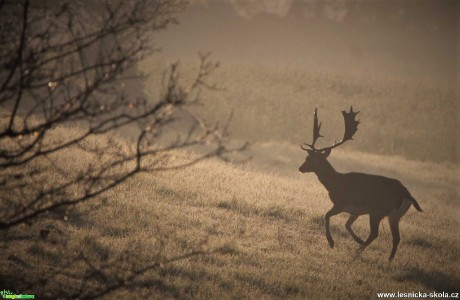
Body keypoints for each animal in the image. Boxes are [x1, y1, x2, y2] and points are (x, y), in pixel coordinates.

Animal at [300, 107, 422, 260]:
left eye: (309, 158)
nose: (300, 168)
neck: (335, 183)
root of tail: (407, 195)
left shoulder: (341, 203)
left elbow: (326, 215)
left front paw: (332, 241)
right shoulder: (356, 211)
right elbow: (347, 224)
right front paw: (358, 239)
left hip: (377, 211)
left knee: (375, 233)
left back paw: (357, 252)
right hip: (395, 215)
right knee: (396, 238)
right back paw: (388, 259)